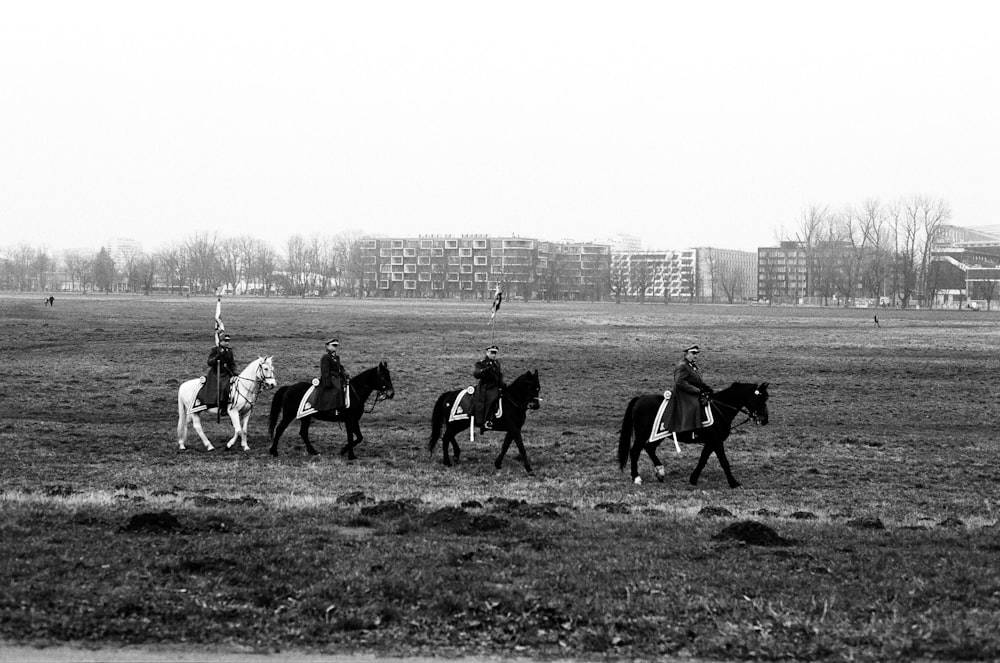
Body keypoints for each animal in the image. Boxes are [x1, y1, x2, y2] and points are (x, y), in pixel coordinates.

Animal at [616, 384, 772, 488]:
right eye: (760, 399)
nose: (764, 420)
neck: (719, 409)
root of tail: (640, 398)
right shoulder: (716, 441)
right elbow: (724, 461)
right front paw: (733, 483)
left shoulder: (711, 442)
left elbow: (703, 460)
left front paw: (693, 479)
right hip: (643, 434)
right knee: (635, 451)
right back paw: (636, 478)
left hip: (658, 435)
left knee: (650, 448)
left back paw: (660, 472)